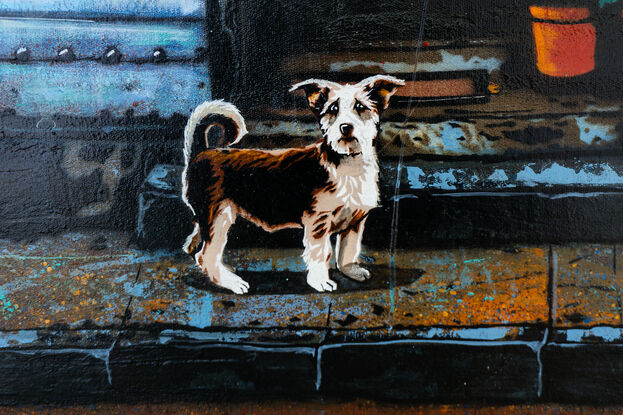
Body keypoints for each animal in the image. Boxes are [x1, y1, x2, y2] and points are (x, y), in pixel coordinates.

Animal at [182, 75, 404, 296]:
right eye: (333, 108)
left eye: (360, 106)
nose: (345, 127)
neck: (346, 162)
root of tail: (201, 153)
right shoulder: (318, 222)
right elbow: (321, 253)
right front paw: (320, 281)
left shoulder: (355, 222)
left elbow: (348, 250)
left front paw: (351, 271)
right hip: (219, 215)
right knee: (206, 254)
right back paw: (232, 282)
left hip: (210, 216)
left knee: (195, 246)